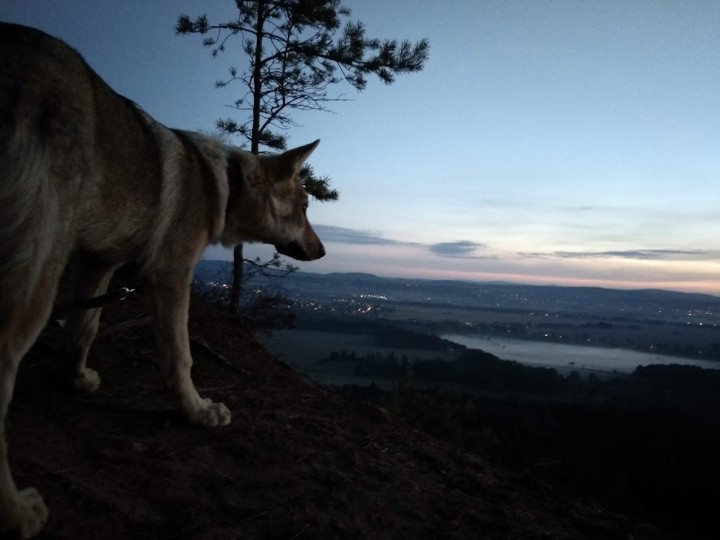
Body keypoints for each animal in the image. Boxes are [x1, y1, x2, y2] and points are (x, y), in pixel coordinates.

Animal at [0, 22, 325, 538]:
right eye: (306, 207)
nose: (323, 250)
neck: (225, 186)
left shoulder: (98, 262)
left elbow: (83, 329)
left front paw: (75, 380)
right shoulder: (171, 276)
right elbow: (182, 358)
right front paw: (198, 412)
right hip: (37, 277)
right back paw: (16, 512)